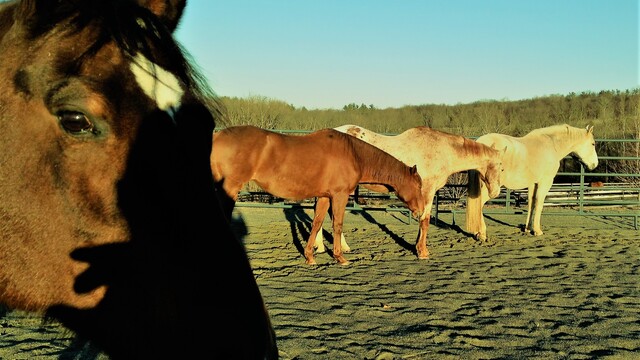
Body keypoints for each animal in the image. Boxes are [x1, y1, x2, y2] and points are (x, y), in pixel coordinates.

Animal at [212, 126, 428, 264]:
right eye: (418, 185)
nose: (420, 210)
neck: (353, 154)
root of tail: (217, 136)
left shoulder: (325, 196)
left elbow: (317, 223)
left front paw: (310, 256)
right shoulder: (340, 195)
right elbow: (337, 224)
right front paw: (340, 257)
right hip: (229, 189)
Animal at [316, 125, 504, 260]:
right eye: (501, 167)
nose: (495, 192)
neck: (442, 151)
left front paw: (417, 247)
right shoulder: (427, 191)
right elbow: (425, 220)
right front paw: (422, 252)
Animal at [464, 125, 600, 240]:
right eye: (593, 143)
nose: (594, 165)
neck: (552, 145)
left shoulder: (533, 183)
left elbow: (531, 203)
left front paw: (528, 229)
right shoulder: (545, 182)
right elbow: (539, 204)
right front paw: (537, 231)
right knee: (479, 204)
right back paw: (481, 233)